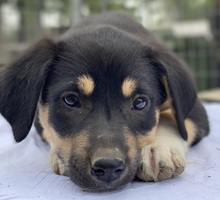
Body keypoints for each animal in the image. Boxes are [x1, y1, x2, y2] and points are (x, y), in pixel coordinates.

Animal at [0, 11, 209, 191]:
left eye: (140, 103)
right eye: (71, 100)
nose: (109, 168)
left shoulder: (196, 111)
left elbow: (172, 120)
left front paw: (158, 149)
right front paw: (58, 157)